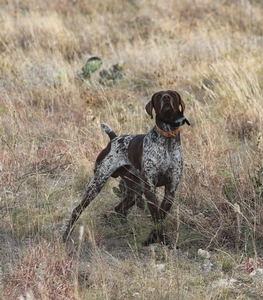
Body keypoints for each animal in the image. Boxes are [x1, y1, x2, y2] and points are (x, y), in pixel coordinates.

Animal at [63, 90, 190, 245]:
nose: (166, 98)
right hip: (96, 184)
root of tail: (113, 138)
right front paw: (155, 240)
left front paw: (158, 239)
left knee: (119, 209)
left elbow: (160, 217)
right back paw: (66, 237)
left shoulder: (170, 190)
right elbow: (157, 217)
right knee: (77, 210)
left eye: (172, 94)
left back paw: (127, 230)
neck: (167, 138)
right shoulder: (149, 189)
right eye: (159, 96)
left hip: (134, 191)